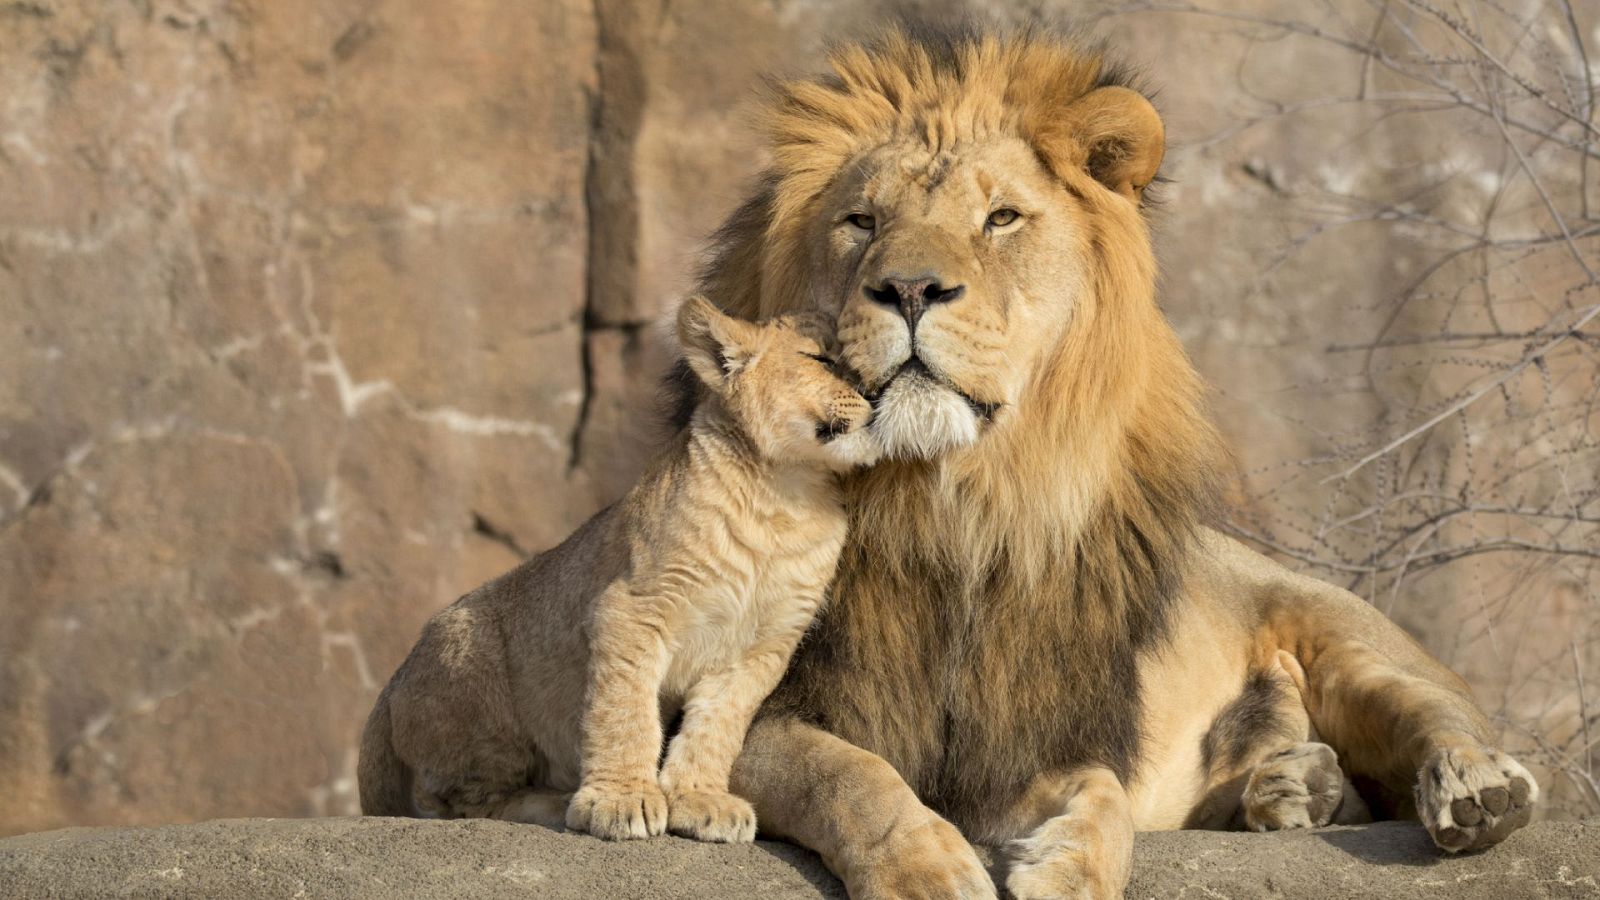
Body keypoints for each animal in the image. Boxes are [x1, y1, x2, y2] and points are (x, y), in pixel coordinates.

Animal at [357, 297, 879, 844]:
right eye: (821, 359)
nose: (876, 393)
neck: (787, 496)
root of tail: (391, 684)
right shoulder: (632, 608)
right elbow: (625, 712)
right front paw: (621, 799)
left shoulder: (763, 648)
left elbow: (717, 726)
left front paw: (701, 799)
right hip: (477, 675)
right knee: (463, 803)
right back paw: (554, 802)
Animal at [676, 26, 1540, 899]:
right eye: (861, 219)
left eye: (1001, 218)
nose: (911, 288)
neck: (952, 507)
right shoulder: (758, 707)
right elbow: (851, 776)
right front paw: (925, 868)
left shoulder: (1030, 735)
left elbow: (1103, 796)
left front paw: (1072, 871)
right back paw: (1294, 786)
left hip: (1344, 638)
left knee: (1437, 716)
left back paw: (1474, 789)